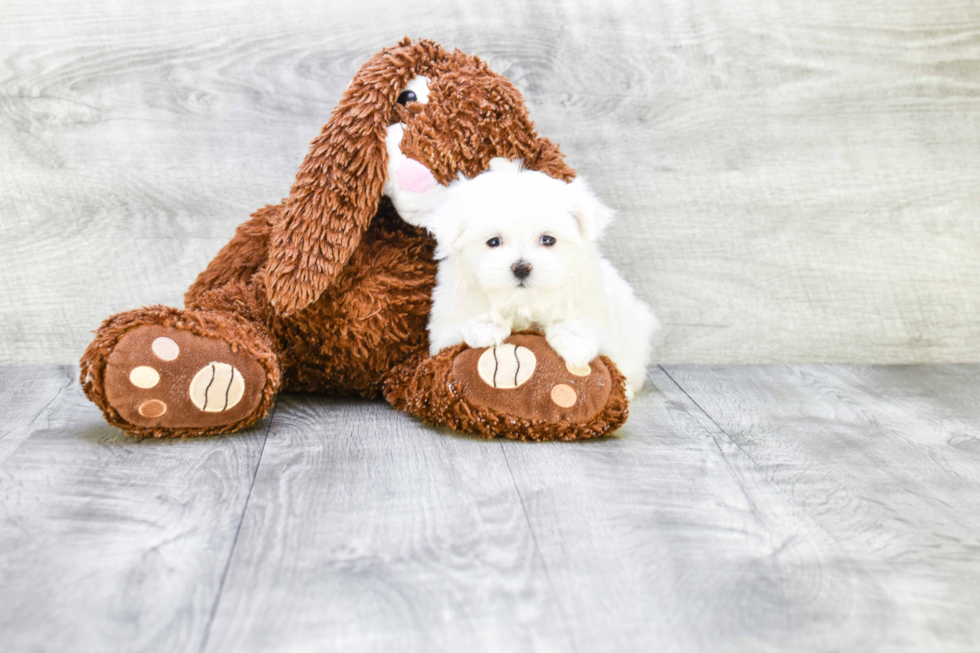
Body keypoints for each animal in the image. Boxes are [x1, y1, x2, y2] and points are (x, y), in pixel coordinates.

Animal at [424, 158, 660, 398]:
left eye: (548, 240)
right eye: (493, 242)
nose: (521, 267)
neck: (524, 303)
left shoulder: (595, 298)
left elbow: (585, 318)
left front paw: (574, 340)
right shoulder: (447, 317)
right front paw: (485, 326)